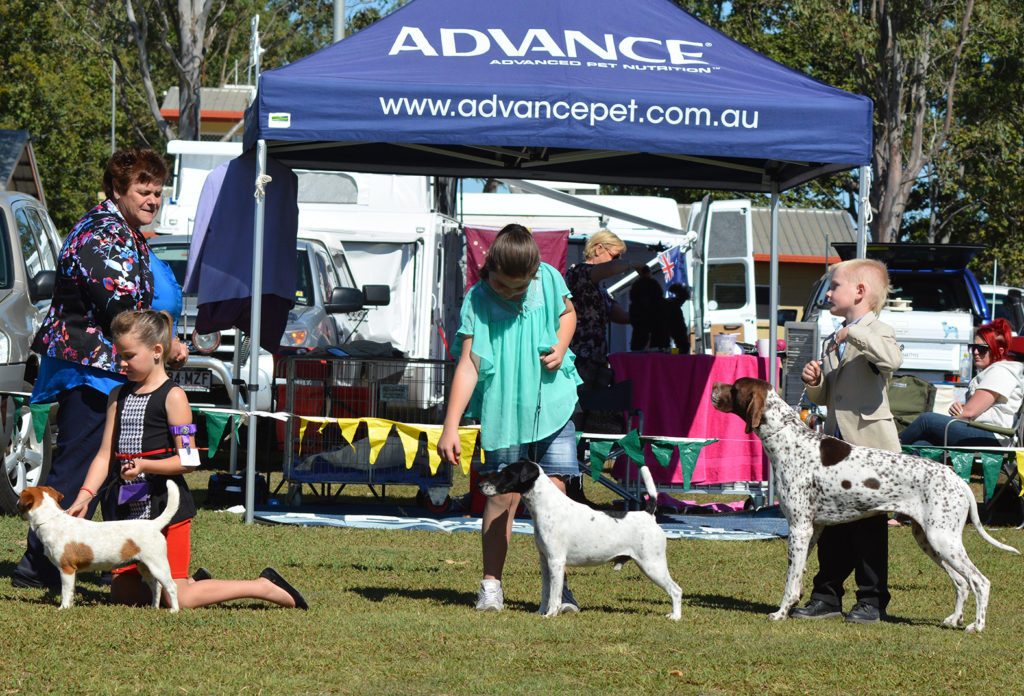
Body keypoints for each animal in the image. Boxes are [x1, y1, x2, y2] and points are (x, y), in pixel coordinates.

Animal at [18, 481, 182, 610]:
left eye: (19, 498)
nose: (15, 505)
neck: (52, 520)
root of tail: (153, 524)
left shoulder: (66, 569)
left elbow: (65, 591)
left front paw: (63, 608)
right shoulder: (73, 572)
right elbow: (71, 591)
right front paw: (70, 606)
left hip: (158, 565)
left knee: (172, 586)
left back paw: (174, 610)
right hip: (144, 566)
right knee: (156, 586)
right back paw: (154, 607)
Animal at [477, 458, 679, 618]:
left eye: (507, 473)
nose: (480, 486)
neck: (547, 505)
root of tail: (648, 514)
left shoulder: (556, 561)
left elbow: (554, 595)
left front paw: (550, 614)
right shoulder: (544, 561)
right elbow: (545, 592)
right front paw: (540, 612)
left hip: (652, 565)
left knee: (676, 590)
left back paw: (675, 616)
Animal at [708, 378, 1019, 634]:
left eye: (734, 387)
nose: (713, 386)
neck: (789, 440)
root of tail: (957, 479)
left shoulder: (799, 528)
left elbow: (789, 580)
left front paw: (781, 612)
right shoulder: (813, 530)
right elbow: (798, 577)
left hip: (943, 539)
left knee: (980, 581)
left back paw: (976, 626)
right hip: (930, 540)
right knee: (961, 582)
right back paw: (954, 619)